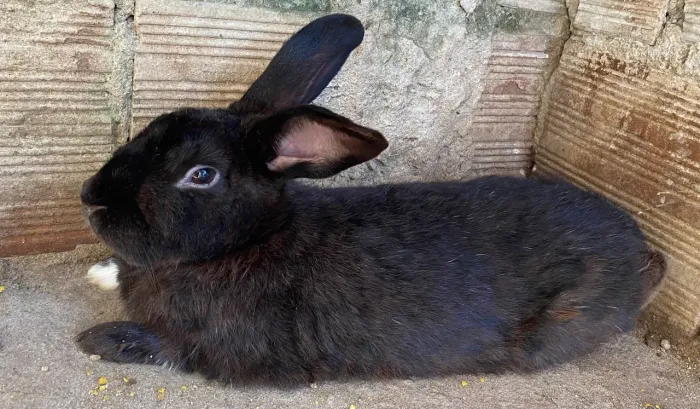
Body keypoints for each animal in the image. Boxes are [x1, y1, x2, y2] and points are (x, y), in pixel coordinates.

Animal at [76, 14, 667, 386]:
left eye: (201, 175)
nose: (90, 198)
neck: (251, 240)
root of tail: (642, 252)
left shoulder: (223, 348)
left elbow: (170, 349)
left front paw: (98, 339)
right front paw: (101, 273)